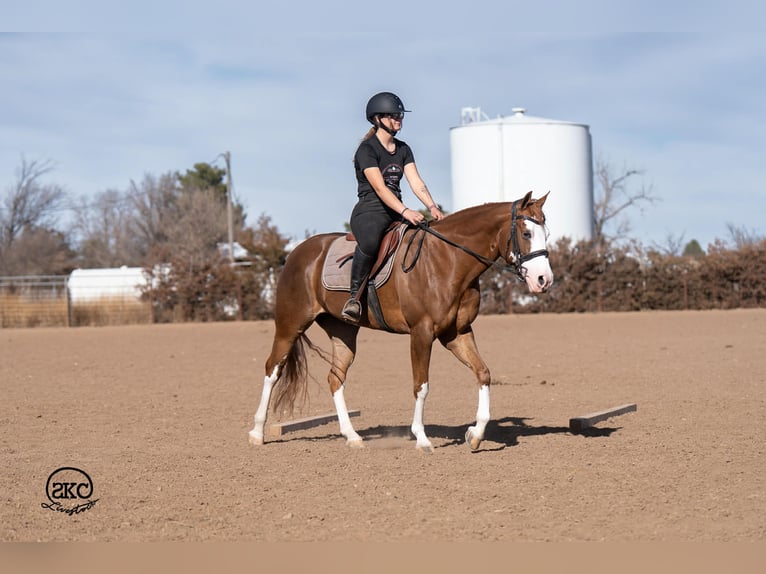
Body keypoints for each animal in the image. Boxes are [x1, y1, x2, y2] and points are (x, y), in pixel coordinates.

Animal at [248, 191, 553, 452]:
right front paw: (422, 438)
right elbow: (421, 385)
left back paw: (352, 436)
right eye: (526, 233)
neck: (449, 259)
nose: (544, 280)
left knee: (335, 378)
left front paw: (475, 435)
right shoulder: (422, 333)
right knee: (272, 370)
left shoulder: (457, 333)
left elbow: (483, 373)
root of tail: (298, 252)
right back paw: (257, 432)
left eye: (546, 234)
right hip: (290, 325)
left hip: (343, 331)